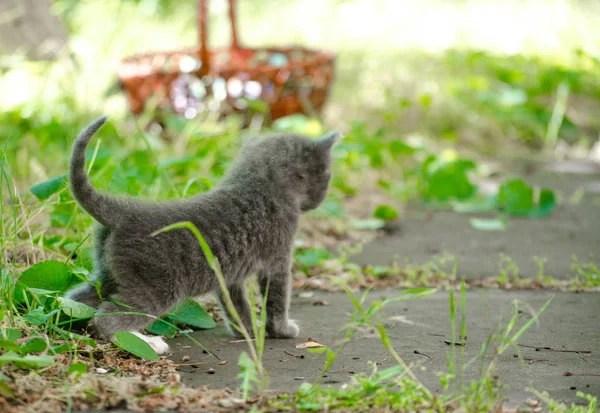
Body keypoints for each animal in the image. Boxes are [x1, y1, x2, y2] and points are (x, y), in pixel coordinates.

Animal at [66, 116, 342, 354]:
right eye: (328, 174)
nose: (323, 195)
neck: (256, 184)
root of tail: (123, 213)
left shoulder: (229, 276)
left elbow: (236, 305)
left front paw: (246, 330)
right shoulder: (277, 259)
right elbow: (276, 298)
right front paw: (282, 330)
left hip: (109, 275)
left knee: (80, 299)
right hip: (155, 286)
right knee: (109, 317)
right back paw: (146, 343)